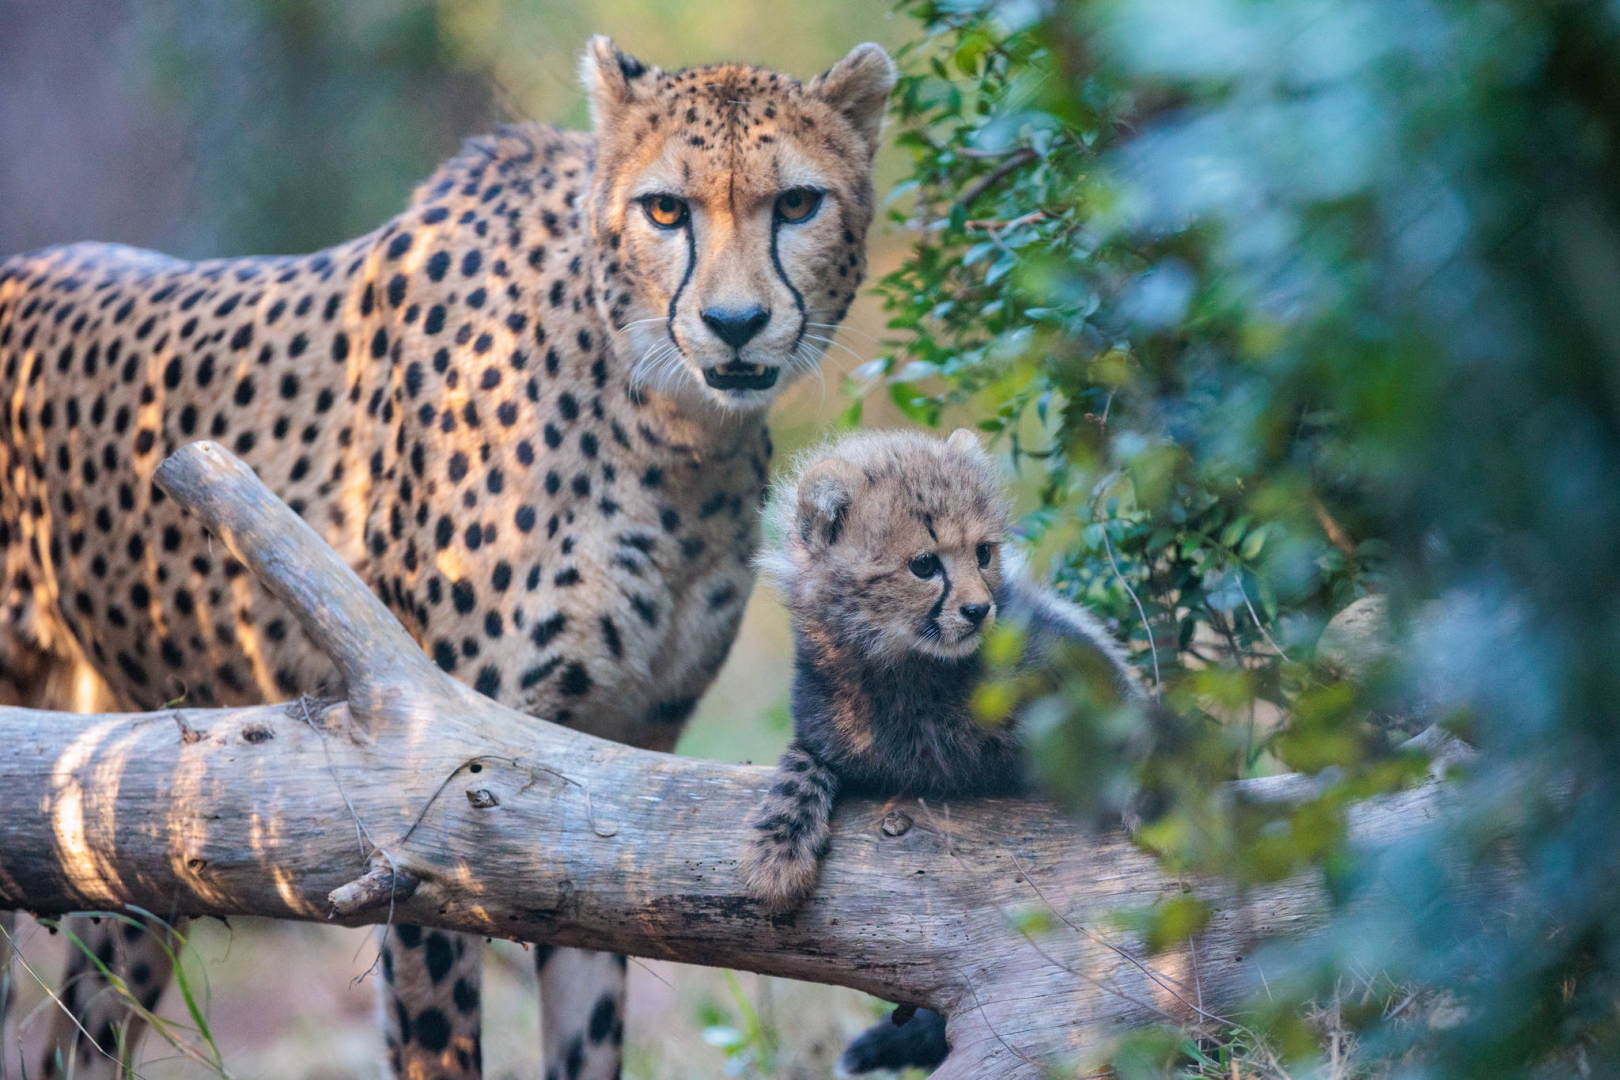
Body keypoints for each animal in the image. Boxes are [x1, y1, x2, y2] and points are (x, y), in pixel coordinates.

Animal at [0, 33, 900, 1080]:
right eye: (666, 209)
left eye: (796, 203)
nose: (737, 325)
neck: (667, 429)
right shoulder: (433, 810)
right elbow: (444, 1045)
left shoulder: (612, 788)